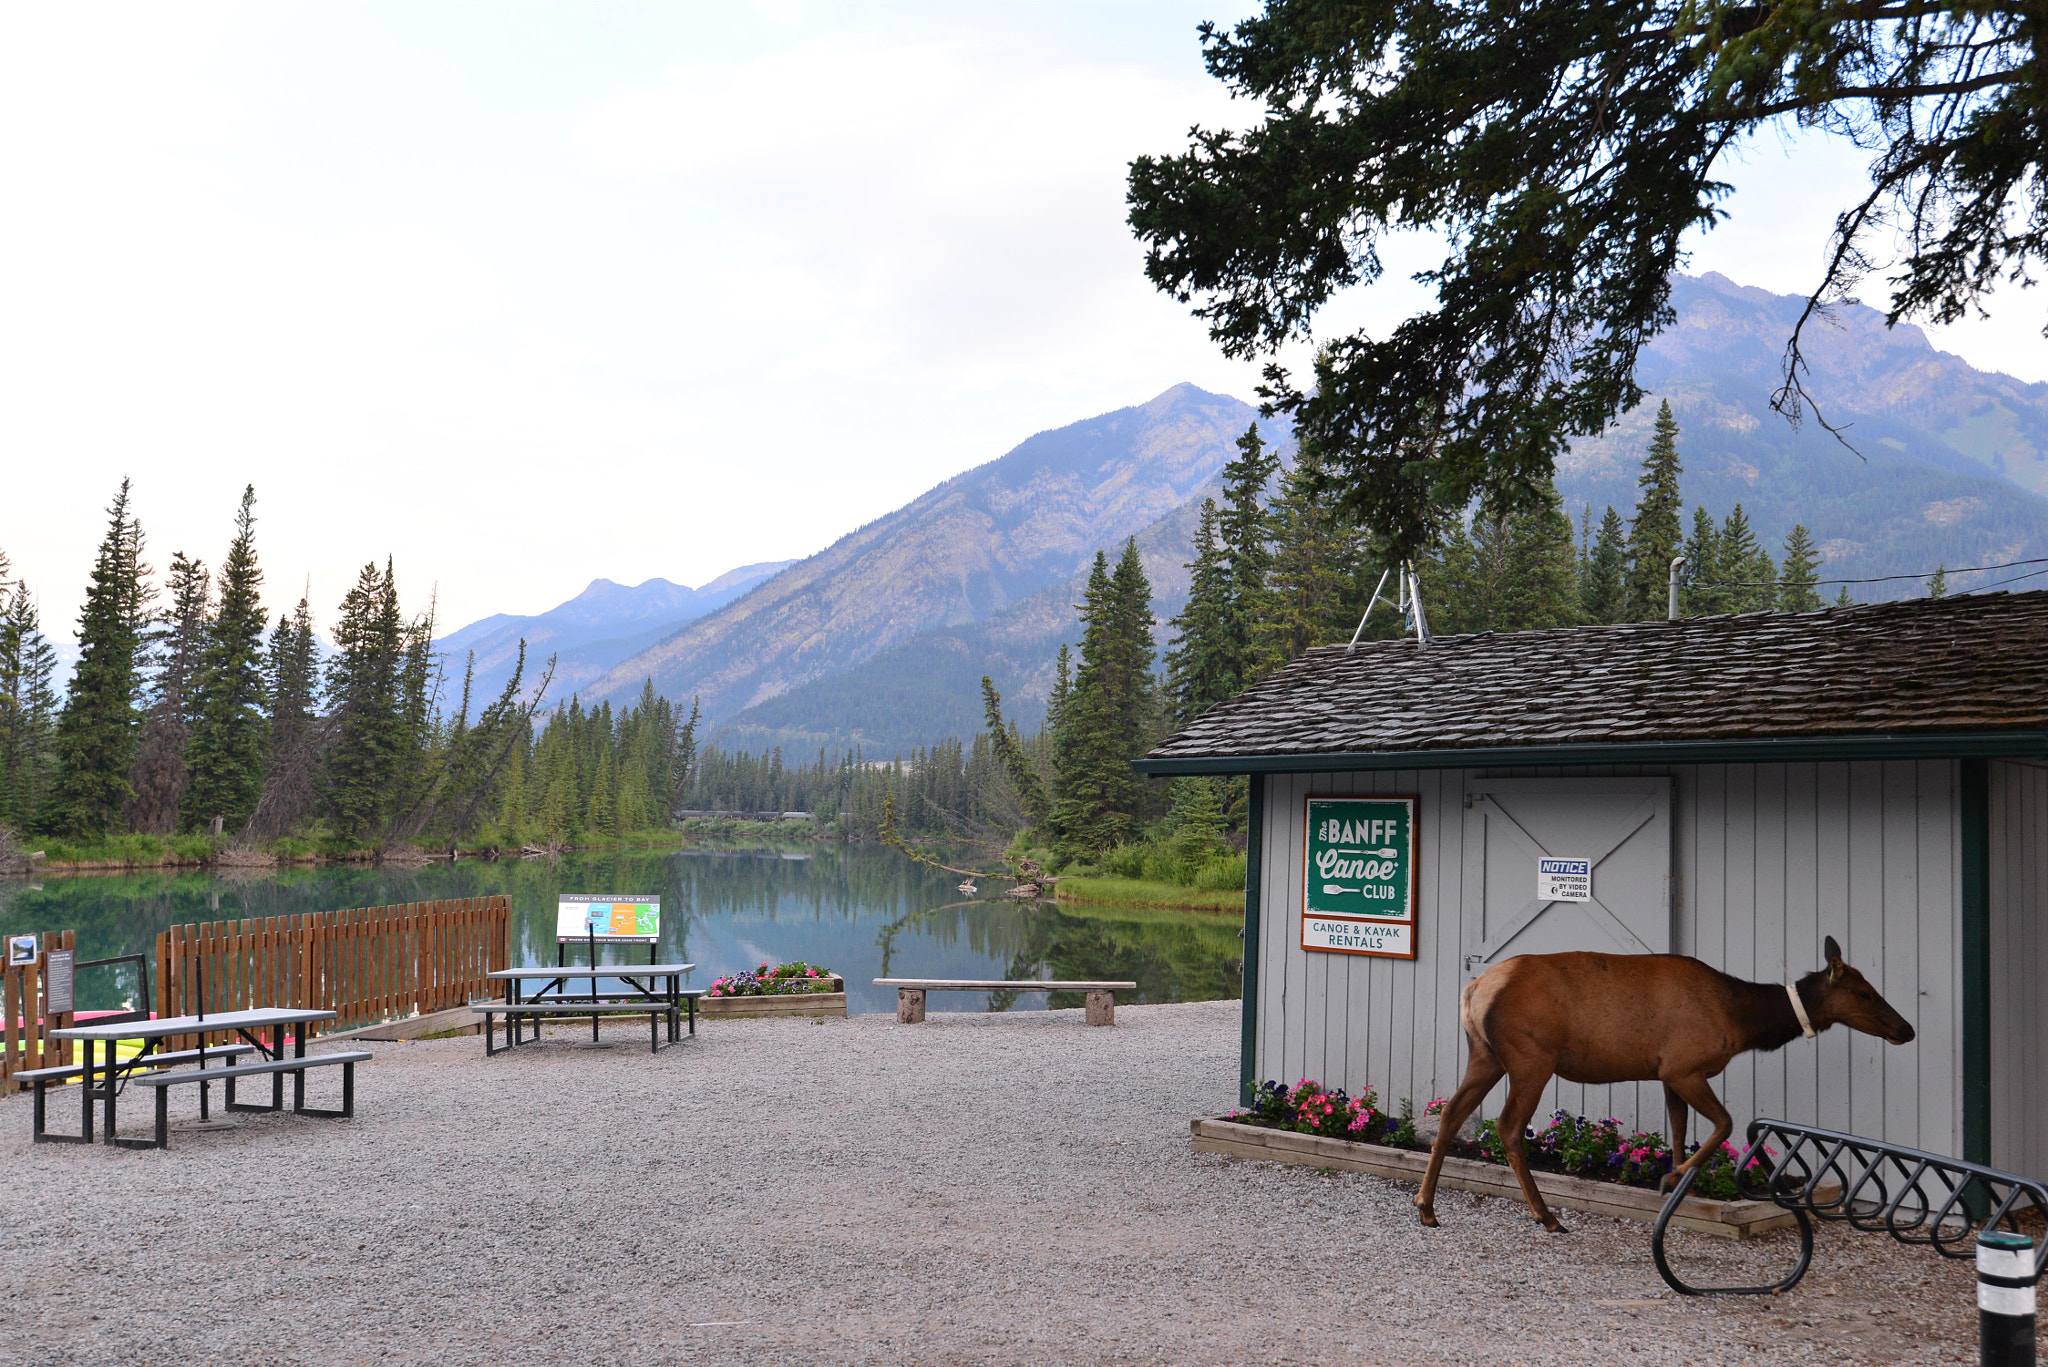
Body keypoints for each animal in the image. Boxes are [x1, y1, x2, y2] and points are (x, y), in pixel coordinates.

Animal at [1417, 934, 1908, 1237]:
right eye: (1864, 992)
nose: (1906, 1029)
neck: (1741, 1022)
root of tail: (1473, 990)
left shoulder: (1667, 1073)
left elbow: (1678, 1128)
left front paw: (1671, 1184)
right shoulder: (1685, 1067)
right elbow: (1725, 1124)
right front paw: (1672, 1176)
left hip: (1484, 1054)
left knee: (1451, 1112)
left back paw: (1427, 1207)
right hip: (1531, 1057)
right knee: (1508, 1126)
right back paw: (1547, 1216)